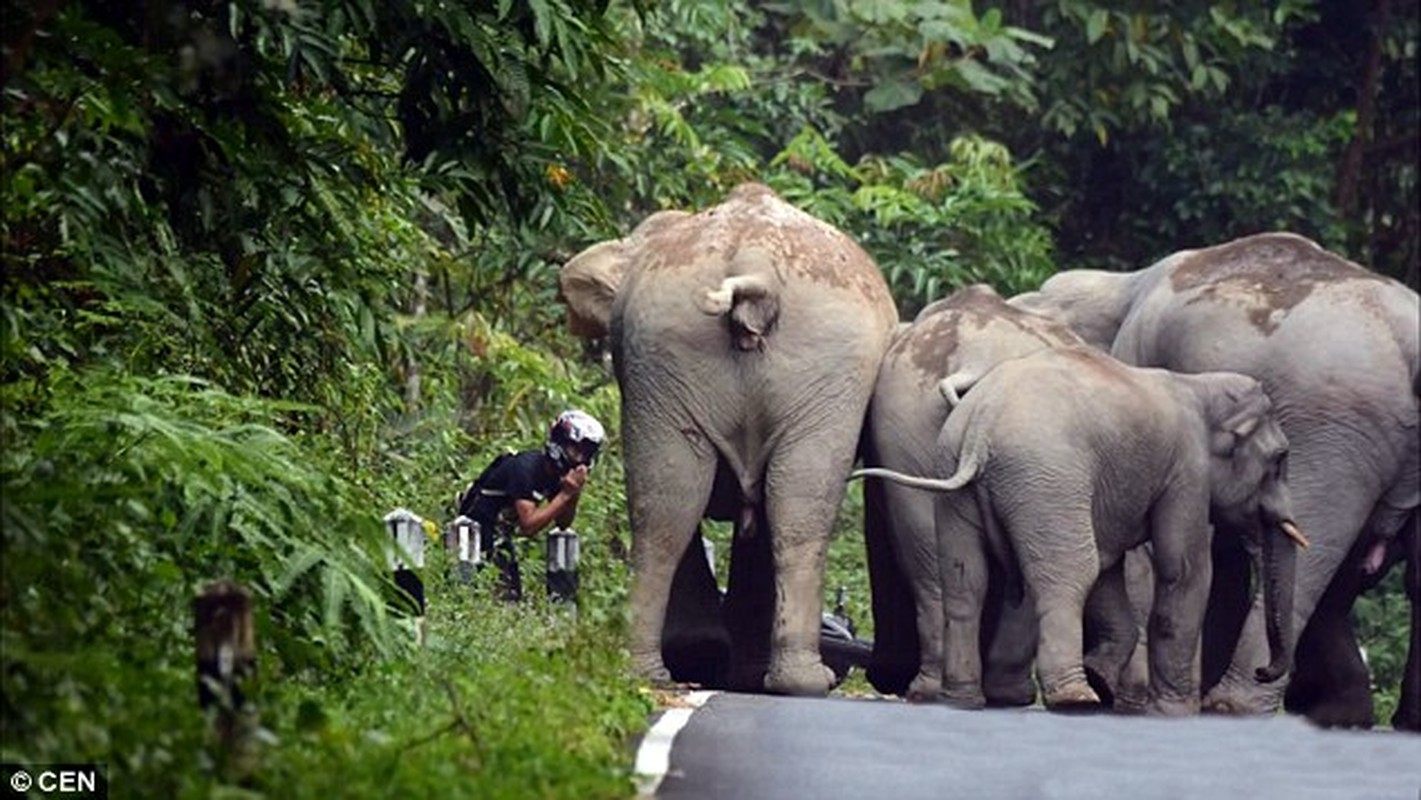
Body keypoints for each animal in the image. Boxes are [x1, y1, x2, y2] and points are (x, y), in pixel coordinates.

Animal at [852, 348, 1307, 716]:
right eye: (1281, 458)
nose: (1263, 671)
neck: (1198, 385)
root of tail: (981, 423)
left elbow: (1110, 568)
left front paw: (1106, 676)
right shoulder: (1186, 473)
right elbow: (1183, 570)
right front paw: (1173, 712)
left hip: (953, 476)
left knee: (966, 581)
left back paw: (963, 700)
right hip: (1046, 478)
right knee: (1069, 573)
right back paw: (1074, 698)